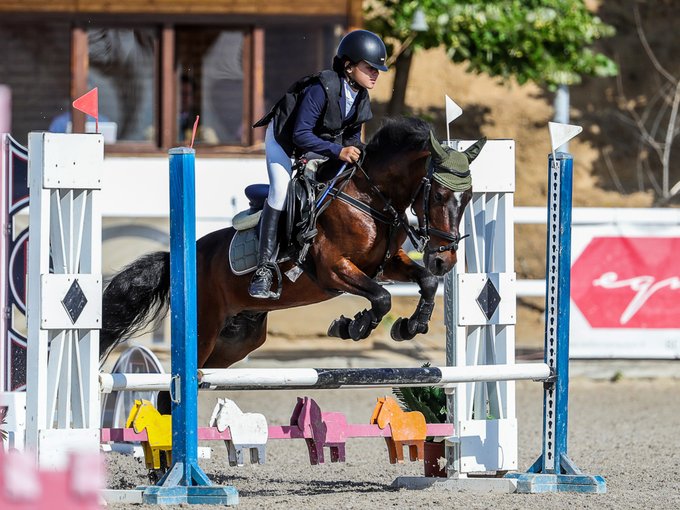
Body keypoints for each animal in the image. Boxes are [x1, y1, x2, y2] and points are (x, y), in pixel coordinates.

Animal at [99, 116, 484, 370]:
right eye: (438, 196)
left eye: (468, 199)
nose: (446, 260)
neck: (369, 197)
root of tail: (178, 259)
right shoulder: (333, 269)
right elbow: (382, 297)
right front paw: (354, 326)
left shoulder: (385, 263)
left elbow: (426, 281)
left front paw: (410, 326)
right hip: (204, 330)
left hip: (237, 338)